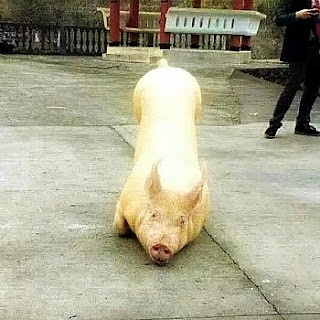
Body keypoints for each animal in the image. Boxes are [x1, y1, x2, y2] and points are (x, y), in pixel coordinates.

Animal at [114, 60, 211, 264]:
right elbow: (118, 227)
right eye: (154, 214)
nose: (162, 246)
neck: (173, 182)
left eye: (182, 220)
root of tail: (166, 68)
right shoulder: (124, 197)